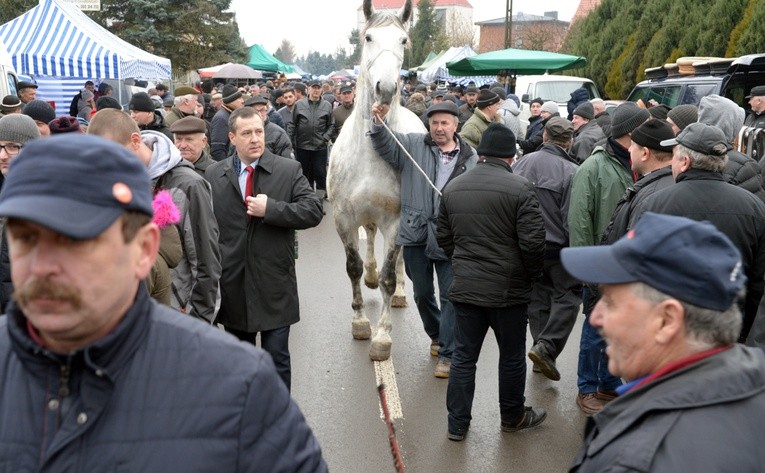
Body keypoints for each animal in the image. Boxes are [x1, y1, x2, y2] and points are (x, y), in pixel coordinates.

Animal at [326, 0, 426, 362]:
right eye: (368, 37)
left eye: (403, 40)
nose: (385, 88)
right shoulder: (343, 218)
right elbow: (353, 267)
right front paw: (360, 322)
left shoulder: (396, 221)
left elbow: (388, 275)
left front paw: (382, 336)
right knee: (368, 238)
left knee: (395, 263)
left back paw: (398, 292)